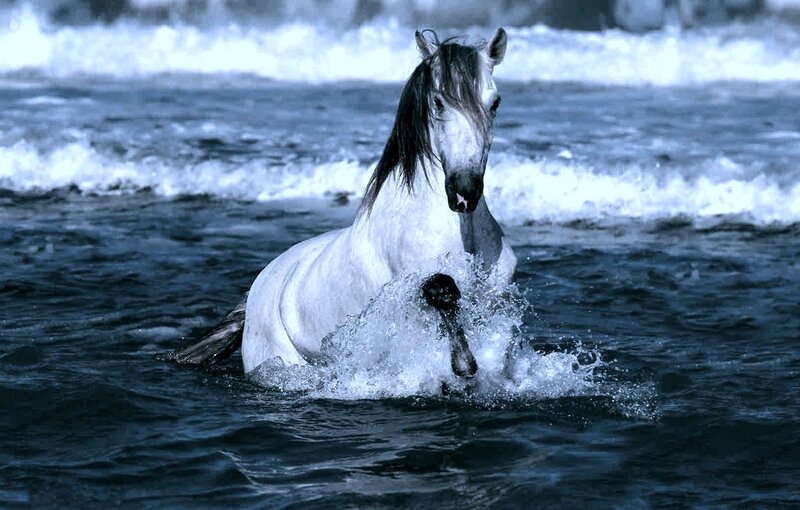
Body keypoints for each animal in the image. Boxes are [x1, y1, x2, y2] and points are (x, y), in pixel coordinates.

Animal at [169, 28, 516, 379]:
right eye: (438, 101)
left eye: (496, 102)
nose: (464, 191)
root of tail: (257, 289)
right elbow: (442, 291)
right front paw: (464, 364)